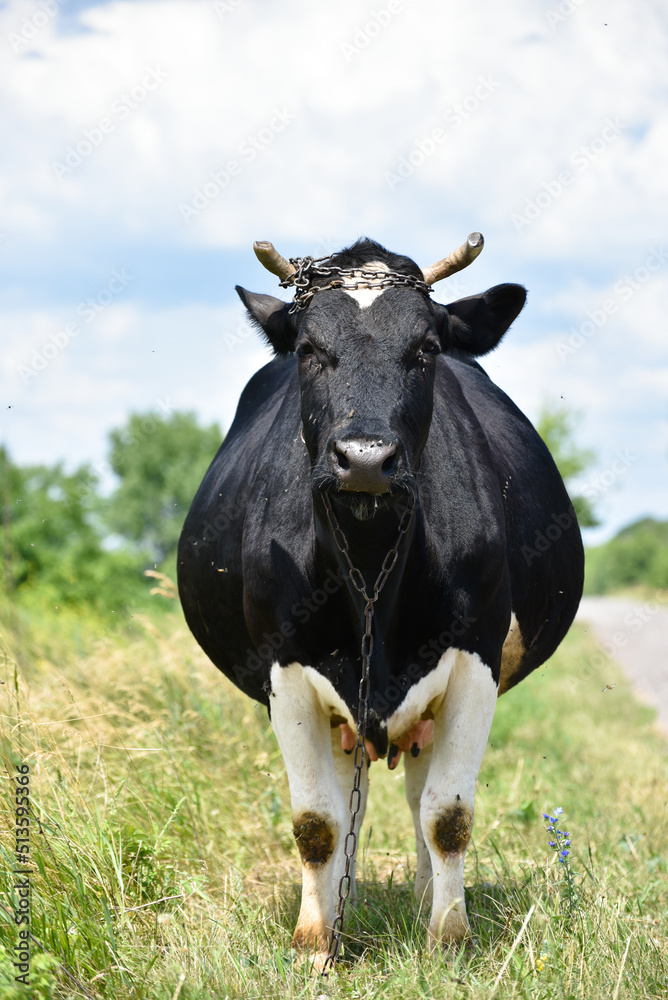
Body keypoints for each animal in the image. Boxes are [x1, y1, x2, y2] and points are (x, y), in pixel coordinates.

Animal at [179, 230, 584, 964]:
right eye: (310, 349)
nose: (365, 457)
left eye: (425, 348)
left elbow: (448, 816)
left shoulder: (476, 659)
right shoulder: (288, 670)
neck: (370, 567)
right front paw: (315, 942)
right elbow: (317, 821)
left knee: (422, 796)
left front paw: (448, 937)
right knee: (347, 801)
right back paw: (341, 906)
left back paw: (425, 898)